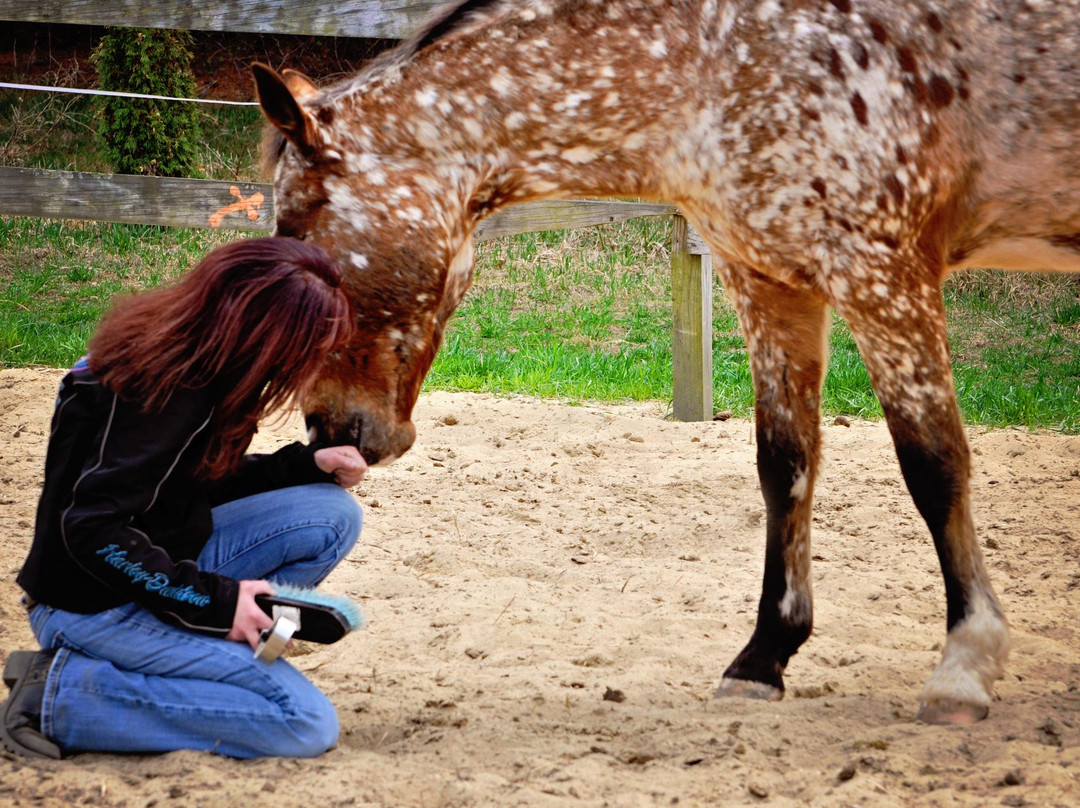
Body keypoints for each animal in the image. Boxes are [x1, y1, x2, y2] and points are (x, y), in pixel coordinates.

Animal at [252, 0, 1080, 725]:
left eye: (301, 238)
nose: (328, 431)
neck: (715, 59)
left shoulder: (883, 275)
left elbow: (934, 464)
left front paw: (964, 665)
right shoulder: (769, 281)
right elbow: (785, 463)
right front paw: (763, 658)